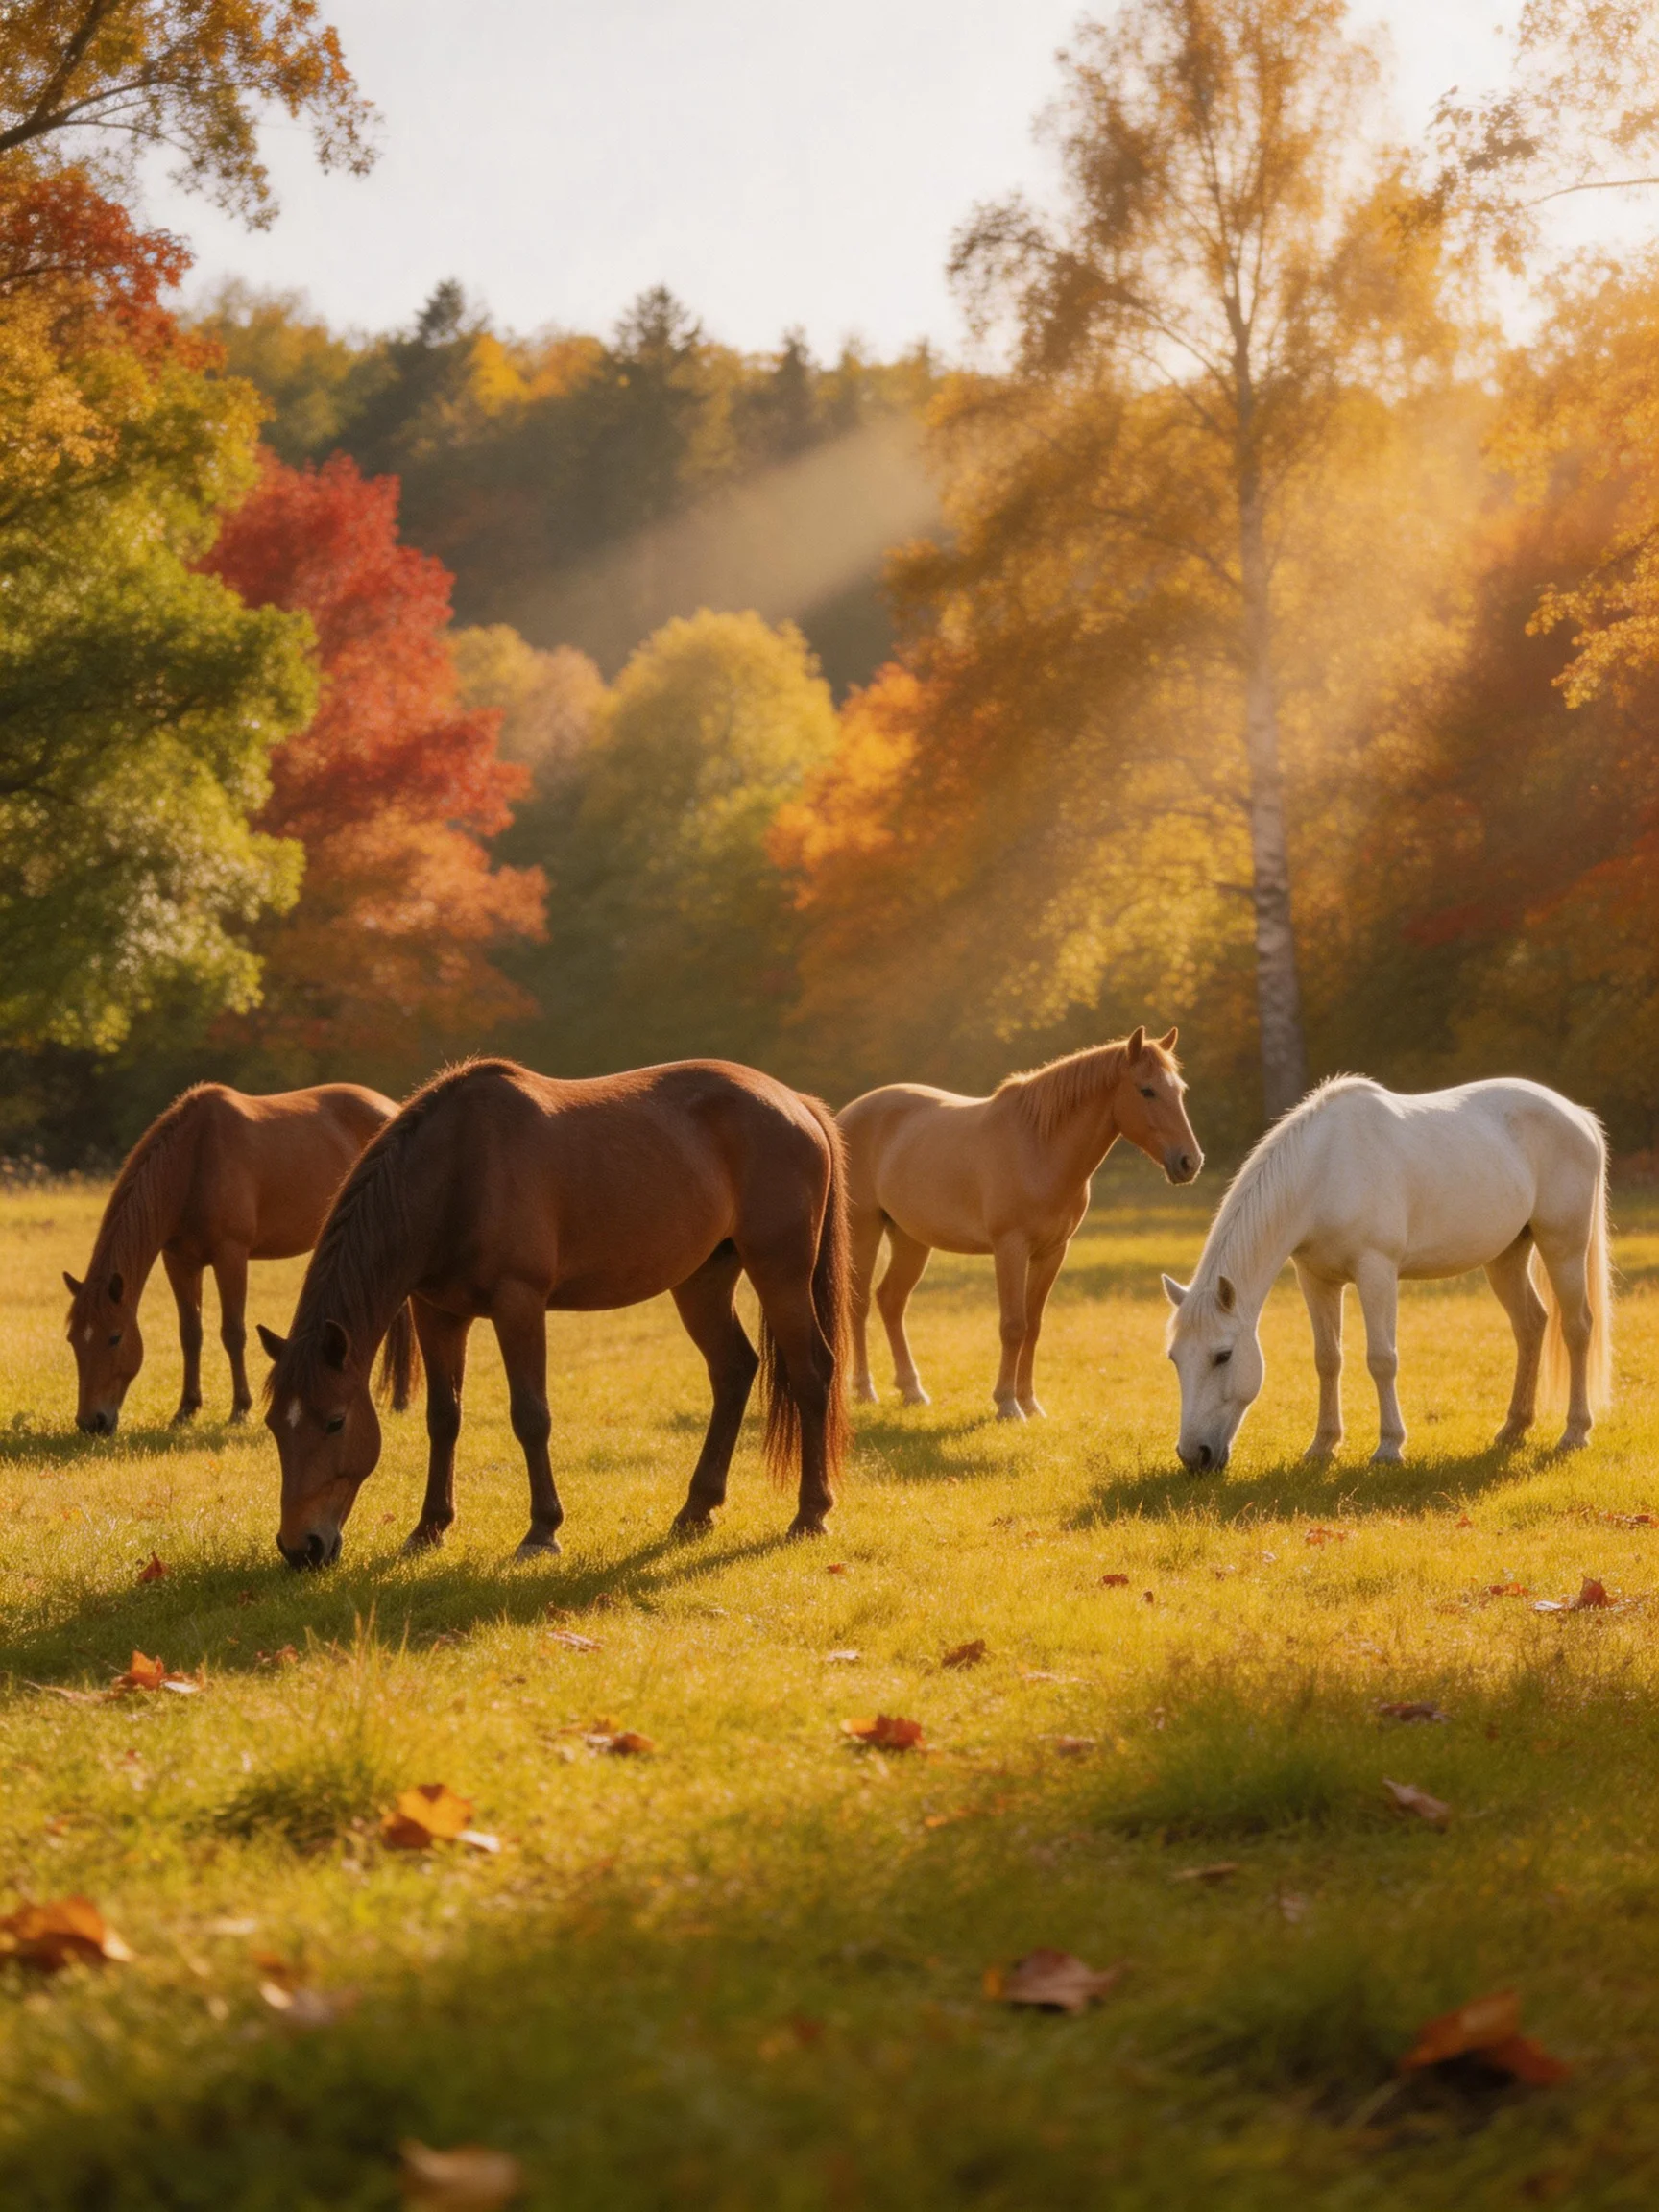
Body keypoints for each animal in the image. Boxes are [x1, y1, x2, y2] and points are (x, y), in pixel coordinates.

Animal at [63, 1082, 409, 1434]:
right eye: (73, 1339)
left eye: (115, 1337)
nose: (91, 1422)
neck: (194, 1159)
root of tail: (390, 1108)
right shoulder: (179, 1262)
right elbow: (190, 1334)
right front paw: (186, 1408)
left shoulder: (231, 1255)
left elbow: (233, 1333)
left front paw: (240, 1408)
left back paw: (400, 1399)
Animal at [255, 1056, 850, 1569]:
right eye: (275, 1424)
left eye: (335, 1421)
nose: (301, 1548)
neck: (457, 1171)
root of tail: (795, 1102)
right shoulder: (436, 1313)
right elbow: (443, 1418)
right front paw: (429, 1527)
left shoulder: (519, 1304)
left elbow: (531, 1416)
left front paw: (542, 1531)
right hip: (702, 1281)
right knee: (733, 1371)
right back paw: (696, 1509)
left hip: (780, 1272)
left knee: (812, 1373)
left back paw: (810, 1513)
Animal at [838, 1026, 1203, 1419]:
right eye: (1147, 1090)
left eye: (1180, 1090)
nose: (1190, 1162)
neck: (1039, 1147)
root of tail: (846, 1115)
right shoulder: (1010, 1248)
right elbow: (1013, 1325)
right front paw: (1007, 1404)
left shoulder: (1052, 1252)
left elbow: (1034, 1325)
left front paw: (1030, 1402)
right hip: (864, 1229)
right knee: (860, 1302)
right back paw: (865, 1389)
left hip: (911, 1238)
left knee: (891, 1300)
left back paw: (912, 1390)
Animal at [1164, 1075, 1612, 1471]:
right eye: (1174, 1358)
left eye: (1223, 1355)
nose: (1194, 1456)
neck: (1324, 1169)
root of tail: (1578, 1115)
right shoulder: (1316, 1279)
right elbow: (1327, 1359)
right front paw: (1323, 1446)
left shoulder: (1376, 1271)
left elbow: (1381, 1359)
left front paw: (1389, 1448)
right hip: (1506, 1257)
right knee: (1531, 1325)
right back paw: (1513, 1428)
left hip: (1563, 1247)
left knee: (1577, 1328)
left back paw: (1575, 1432)